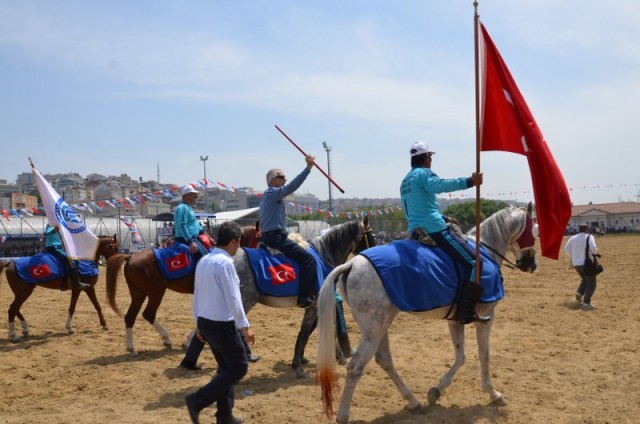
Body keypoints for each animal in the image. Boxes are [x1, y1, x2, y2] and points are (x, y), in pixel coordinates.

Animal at [105, 217, 376, 376]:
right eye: (370, 234)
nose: (374, 251)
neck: (321, 254)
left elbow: (313, 329)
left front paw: (313, 357)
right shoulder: (314, 304)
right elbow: (309, 331)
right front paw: (301, 362)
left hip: (145, 292)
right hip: (164, 292)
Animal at [318, 204, 536, 422]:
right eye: (534, 231)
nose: (532, 264)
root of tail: (352, 264)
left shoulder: (455, 320)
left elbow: (461, 356)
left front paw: (436, 391)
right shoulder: (485, 318)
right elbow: (484, 355)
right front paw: (493, 393)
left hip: (379, 326)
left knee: (384, 360)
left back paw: (413, 402)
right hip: (374, 329)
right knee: (356, 366)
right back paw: (343, 414)